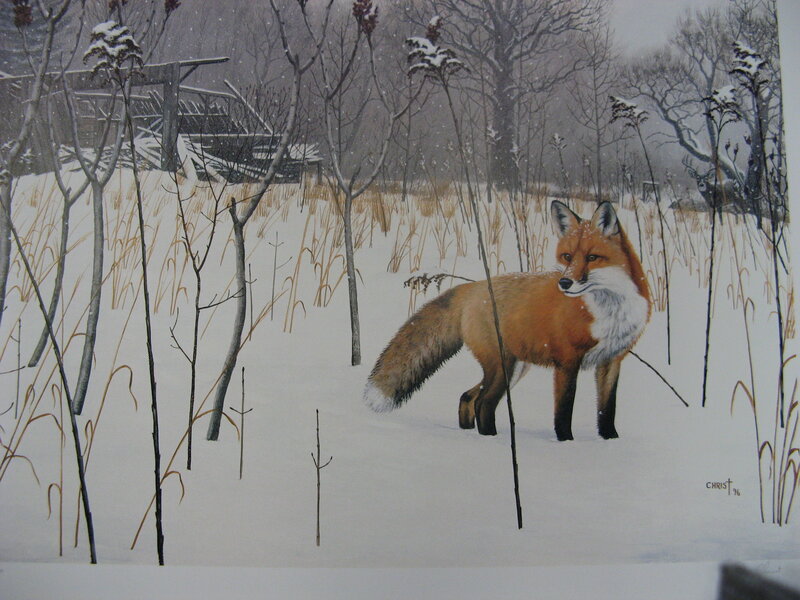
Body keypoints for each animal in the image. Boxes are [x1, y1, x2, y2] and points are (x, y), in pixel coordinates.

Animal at [363, 200, 651, 440]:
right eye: (567, 257)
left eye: (592, 257)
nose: (565, 283)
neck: (609, 308)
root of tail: (472, 287)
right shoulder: (567, 361)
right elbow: (563, 412)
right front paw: (566, 444)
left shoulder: (612, 360)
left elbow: (607, 410)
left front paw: (610, 442)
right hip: (502, 366)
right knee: (483, 403)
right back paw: (492, 440)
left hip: (514, 368)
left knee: (468, 397)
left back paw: (469, 434)